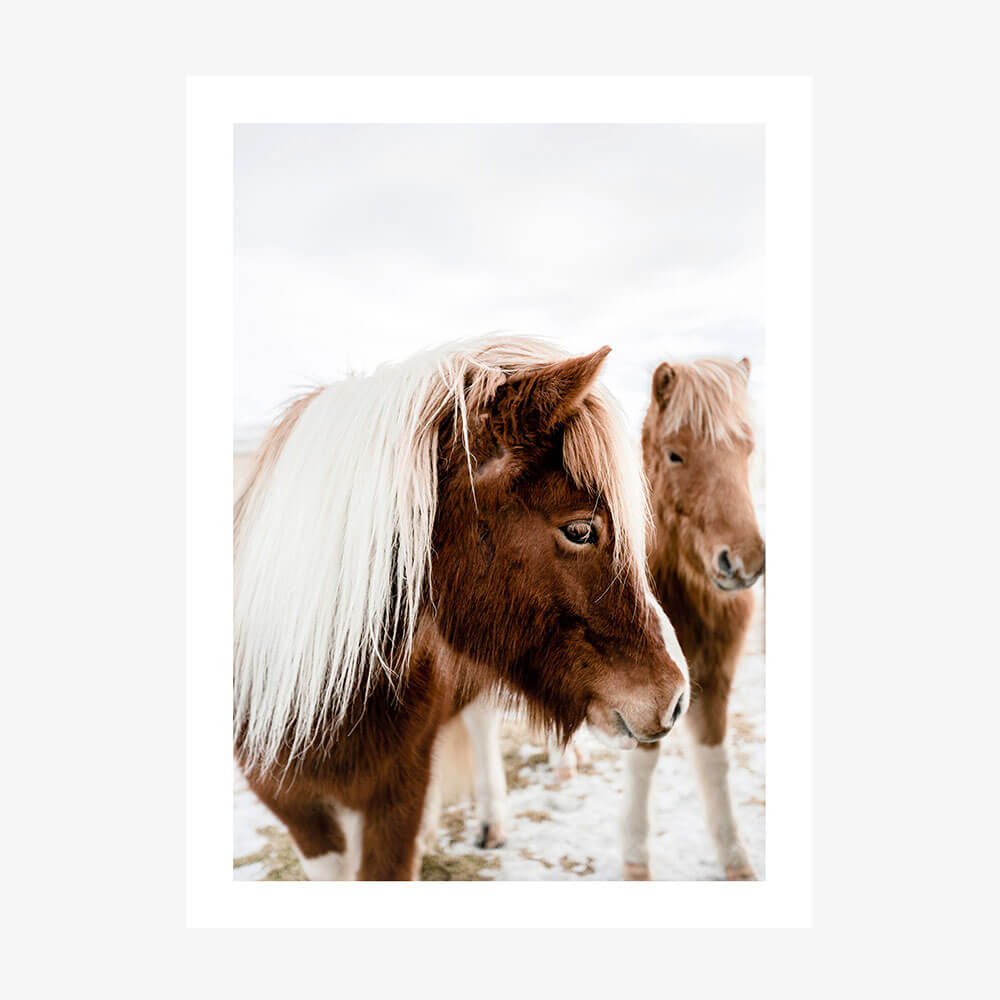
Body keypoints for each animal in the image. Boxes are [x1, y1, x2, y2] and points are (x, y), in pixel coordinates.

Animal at [462, 356, 764, 879]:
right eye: (675, 455)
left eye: (746, 449)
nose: (743, 561)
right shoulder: (647, 689)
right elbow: (645, 759)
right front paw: (636, 859)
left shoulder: (710, 675)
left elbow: (715, 760)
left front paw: (735, 858)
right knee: (481, 717)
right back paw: (493, 820)